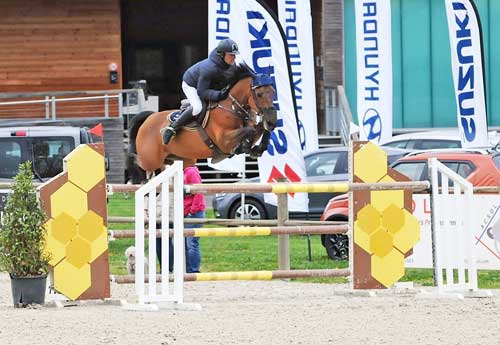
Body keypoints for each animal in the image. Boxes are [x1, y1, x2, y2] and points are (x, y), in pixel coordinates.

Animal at [128, 72, 278, 180]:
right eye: (259, 94)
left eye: (273, 92)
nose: (272, 121)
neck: (232, 108)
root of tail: (148, 118)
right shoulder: (224, 141)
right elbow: (249, 130)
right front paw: (243, 147)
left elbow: (258, 129)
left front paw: (257, 148)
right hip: (151, 159)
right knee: (139, 162)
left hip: (182, 159)